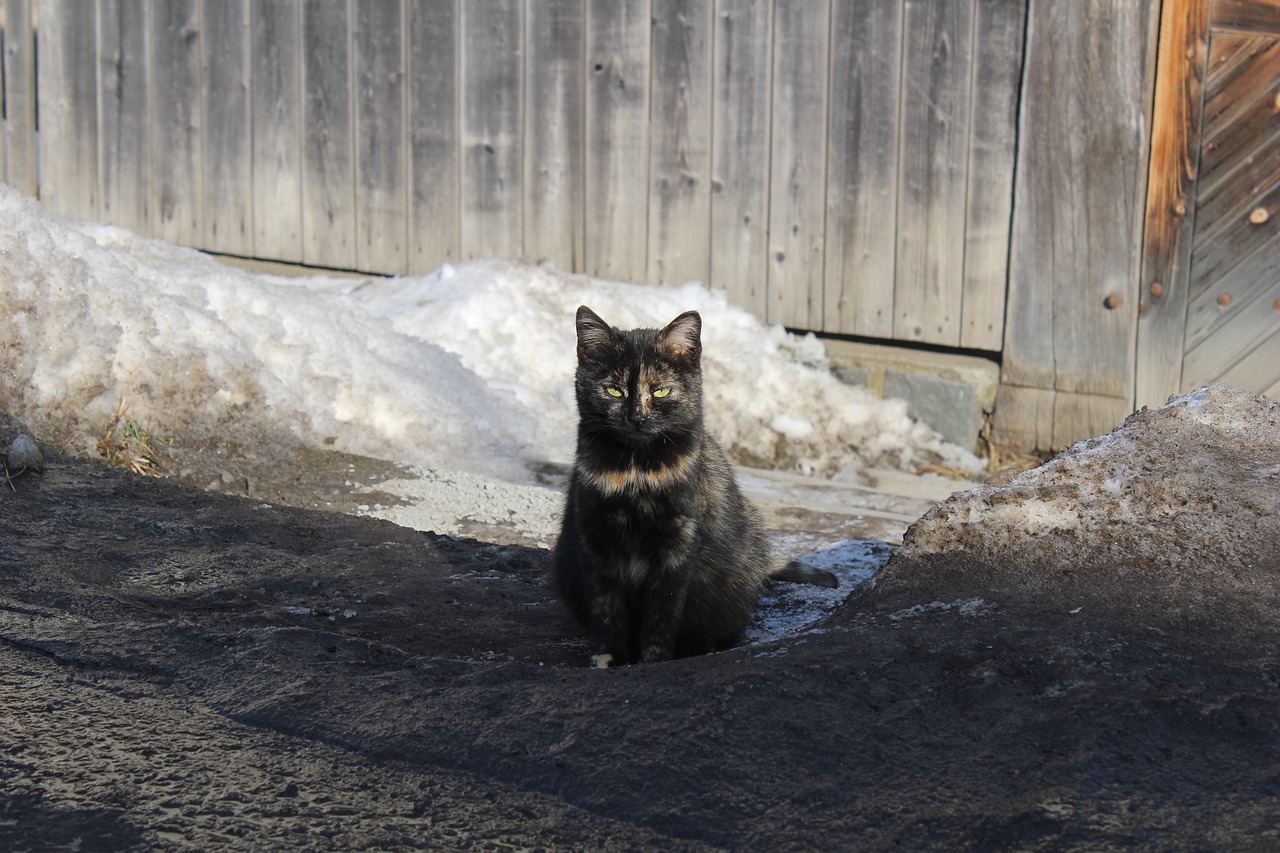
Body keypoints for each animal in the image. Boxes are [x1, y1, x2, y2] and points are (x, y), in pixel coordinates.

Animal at [552, 303, 834, 666]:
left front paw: (653, 660)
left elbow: (662, 613)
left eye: (660, 390)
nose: (637, 418)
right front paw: (607, 660)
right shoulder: (596, 540)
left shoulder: (678, 547)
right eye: (614, 389)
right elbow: (607, 610)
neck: (636, 471)